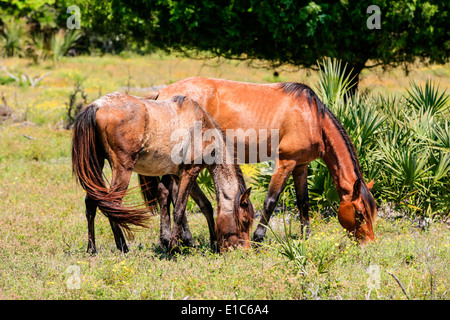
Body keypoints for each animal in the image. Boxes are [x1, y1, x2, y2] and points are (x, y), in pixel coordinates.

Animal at [70, 92, 253, 252]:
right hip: (122, 169)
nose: (245, 250)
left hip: (96, 165)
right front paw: (174, 247)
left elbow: (200, 204)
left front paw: (208, 244)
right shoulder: (190, 172)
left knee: (91, 202)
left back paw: (92, 249)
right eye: (245, 221)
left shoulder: (177, 174)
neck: (201, 127)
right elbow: (179, 208)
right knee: (111, 203)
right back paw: (123, 247)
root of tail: (97, 105)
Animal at [149, 77, 378, 242]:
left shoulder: (301, 165)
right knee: (174, 194)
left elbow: (303, 201)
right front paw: (259, 237)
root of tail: (162, 94)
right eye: (359, 213)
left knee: (168, 192)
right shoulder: (286, 162)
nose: (369, 242)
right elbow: (271, 200)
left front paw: (306, 236)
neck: (313, 117)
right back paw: (177, 239)